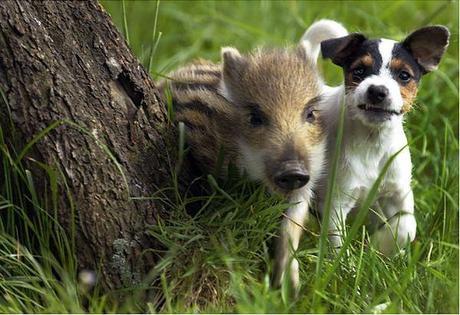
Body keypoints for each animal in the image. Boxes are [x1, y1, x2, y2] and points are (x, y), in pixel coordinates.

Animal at [302, 19, 450, 256]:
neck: (372, 142)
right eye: (359, 71)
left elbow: (407, 227)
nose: (377, 91)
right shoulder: (336, 202)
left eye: (404, 75)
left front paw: (383, 245)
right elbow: (337, 243)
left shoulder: (398, 193)